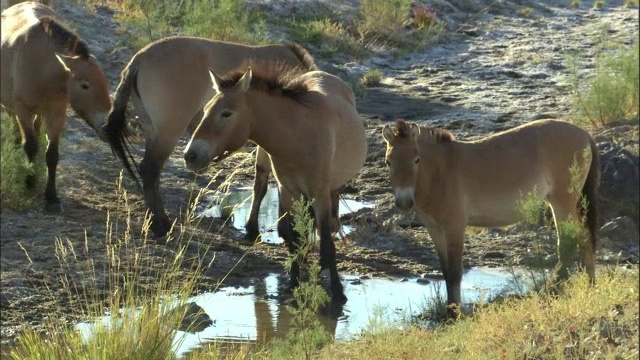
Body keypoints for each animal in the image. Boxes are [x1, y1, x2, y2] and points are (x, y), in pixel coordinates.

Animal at [1, 1, 110, 211]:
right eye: (85, 85)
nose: (107, 122)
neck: (41, 66)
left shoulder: (57, 113)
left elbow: (52, 154)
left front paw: (51, 196)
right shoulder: (23, 109)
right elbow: (30, 146)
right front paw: (29, 182)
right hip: (12, 107)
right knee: (18, 133)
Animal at [102, 36, 320, 238]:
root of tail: (140, 57)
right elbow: (265, 184)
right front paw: (257, 228)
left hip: (153, 132)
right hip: (167, 134)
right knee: (150, 169)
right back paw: (161, 224)